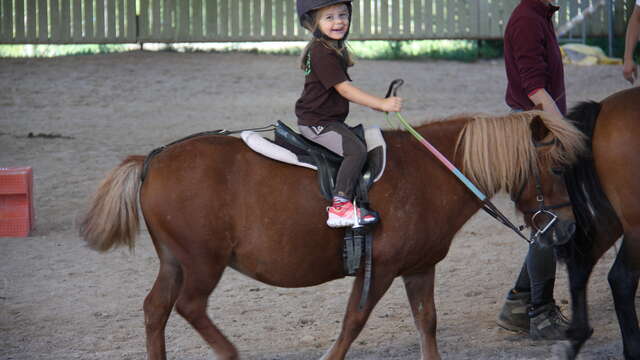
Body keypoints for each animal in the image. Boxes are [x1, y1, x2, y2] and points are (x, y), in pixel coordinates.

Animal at [79, 110, 584, 360]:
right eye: (558, 168)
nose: (569, 228)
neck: (432, 172)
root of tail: (153, 159)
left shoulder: (419, 268)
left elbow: (427, 324)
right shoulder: (379, 269)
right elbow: (352, 323)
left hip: (175, 261)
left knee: (155, 309)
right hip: (202, 262)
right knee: (188, 307)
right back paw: (230, 353)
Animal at [556, 87, 640, 360]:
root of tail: (603, 108)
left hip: (611, 217)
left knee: (581, 263)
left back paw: (575, 338)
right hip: (635, 225)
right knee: (621, 280)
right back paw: (633, 350)